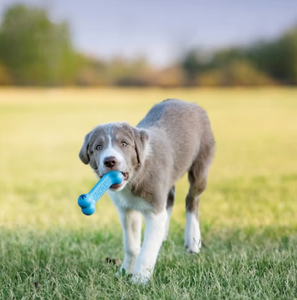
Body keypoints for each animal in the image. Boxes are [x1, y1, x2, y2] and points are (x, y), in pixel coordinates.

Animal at [78, 99, 213, 284]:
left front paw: (139, 280)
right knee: (170, 198)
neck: (134, 178)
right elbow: (131, 245)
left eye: (124, 144)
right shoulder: (127, 209)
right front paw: (125, 271)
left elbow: (147, 248)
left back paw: (193, 240)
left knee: (192, 198)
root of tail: (189, 102)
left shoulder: (154, 210)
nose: (110, 161)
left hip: (201, 161)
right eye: (98, 147)